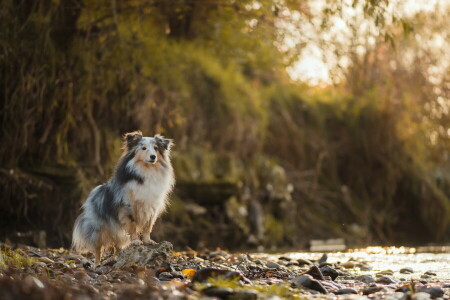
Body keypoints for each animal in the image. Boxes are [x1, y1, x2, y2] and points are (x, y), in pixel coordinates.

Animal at [71, 131, 174, 264]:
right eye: (143, 148)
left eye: (156, 148)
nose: (153, 157)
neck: (146, 171)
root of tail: (94, 193)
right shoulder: (128, 206)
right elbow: (133, 225)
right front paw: (136, 241)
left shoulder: (152, 207)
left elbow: (148, 226)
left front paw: (147, 241)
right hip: (98, 228)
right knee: (98, 248)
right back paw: (96, 264)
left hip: (115, 228)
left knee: (117, 244)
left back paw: (115, 258)